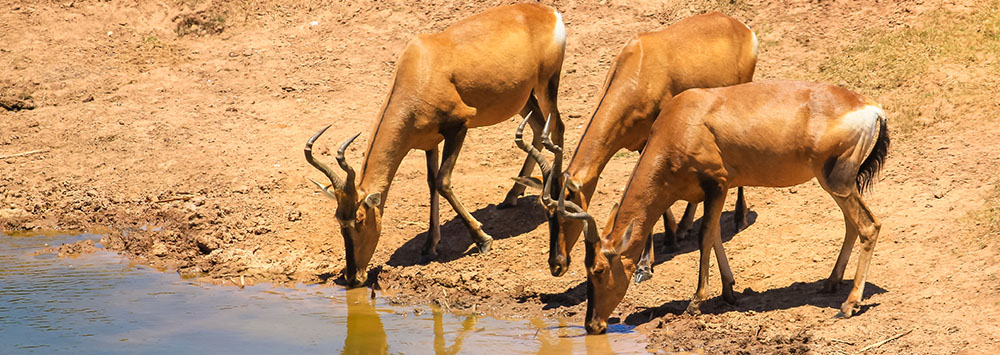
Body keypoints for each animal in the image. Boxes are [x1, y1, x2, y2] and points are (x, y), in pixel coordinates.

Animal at [300, 4, 568, 288]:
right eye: (339, 218)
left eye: (360, 219)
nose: (353, 277)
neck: (421, 67)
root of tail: (548, 12)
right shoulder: (430, 142)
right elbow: (431, 186)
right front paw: (429, 247)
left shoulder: (458, 127)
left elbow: (443, 181)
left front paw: (482, 240)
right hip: (523, 99)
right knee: (538, 130)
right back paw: (511, 196)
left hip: (547, 84)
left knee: (557, 128)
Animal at [516, 11, 756, 280]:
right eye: (545, 212)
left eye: (567, 211)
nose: (557, 265)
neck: (638, 67)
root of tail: (742, 28)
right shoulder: (643, 142)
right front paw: (667, 241)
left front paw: (646, 263)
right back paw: (685, 226)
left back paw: (739, 218)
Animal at [564, 80, 892, 334]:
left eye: (598, 269)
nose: (593, 325)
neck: (685, 119)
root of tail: (871, 108)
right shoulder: (719, 189)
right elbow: (716, 236)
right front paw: (729, 290)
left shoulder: (716, 184)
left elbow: (704, 236)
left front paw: (695, 303)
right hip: (837, 185)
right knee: (852, 225)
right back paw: (831, 283)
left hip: (837, 182)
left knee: (869, 226)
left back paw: (849, 305)